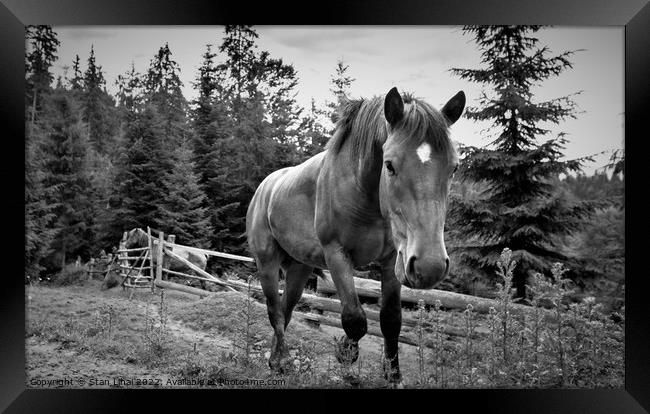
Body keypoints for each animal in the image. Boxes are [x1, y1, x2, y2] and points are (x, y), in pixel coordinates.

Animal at [246, 87, 464, 384]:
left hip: (300, 268)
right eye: (389, 165)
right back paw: (285, 361)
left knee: (287, 309)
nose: (430, 266)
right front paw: (345, 352)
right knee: (275, 312)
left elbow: (391, 320)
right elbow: (354, 319)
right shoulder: (337, 254)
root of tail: (264, 187)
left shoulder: (391, 260)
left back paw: (275, 360)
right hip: (267, 262)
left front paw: (393, 375)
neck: (362, 192)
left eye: (454, 168)